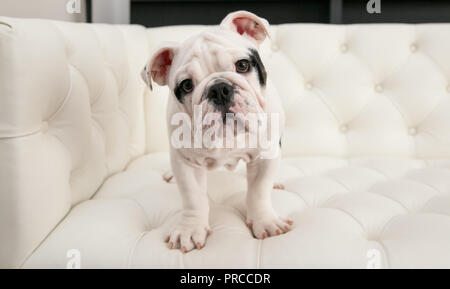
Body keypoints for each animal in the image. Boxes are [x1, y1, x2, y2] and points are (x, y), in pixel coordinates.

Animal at [142, 10, 294, 252]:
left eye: (242, 65)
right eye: (186, 85)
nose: (219, 89)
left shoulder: (265, 155)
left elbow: (259, 191)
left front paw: (265, 221)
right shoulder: (186, 163)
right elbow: (193, 198)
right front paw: (190, 229)